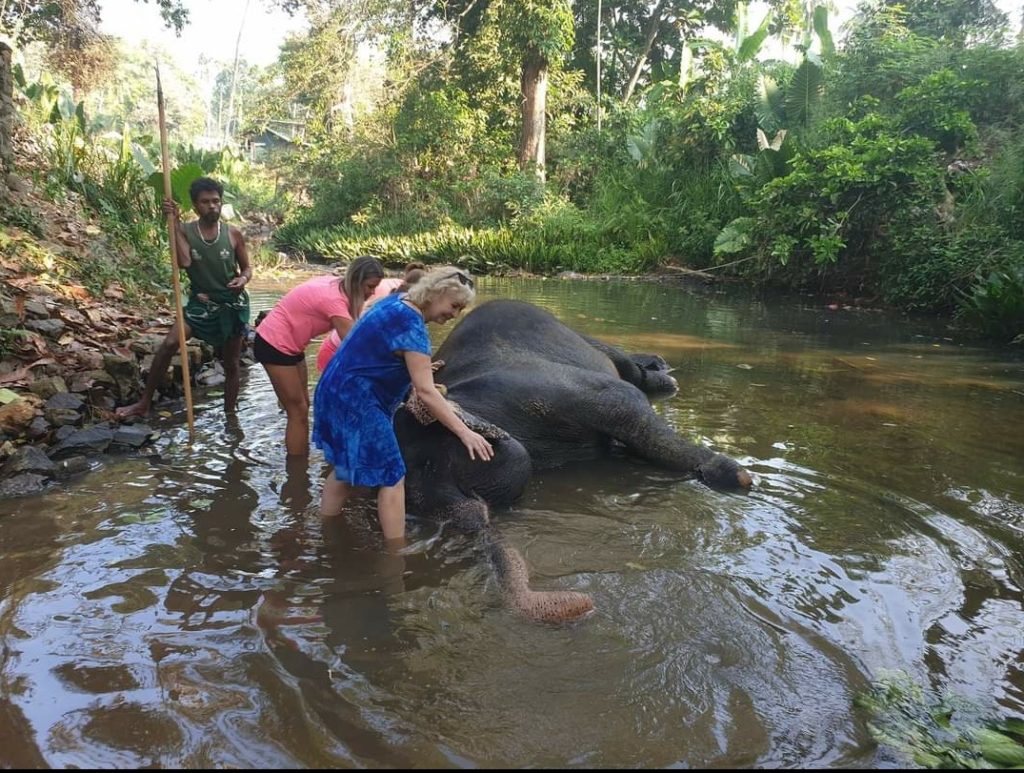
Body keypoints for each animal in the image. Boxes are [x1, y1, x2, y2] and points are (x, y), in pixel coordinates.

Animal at [391, 301, 753, 622]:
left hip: (578, 336)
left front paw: (741, 478)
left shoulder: (559, 389)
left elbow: (628, 407)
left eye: (429, 463)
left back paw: (664, 373)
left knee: (628, 370)